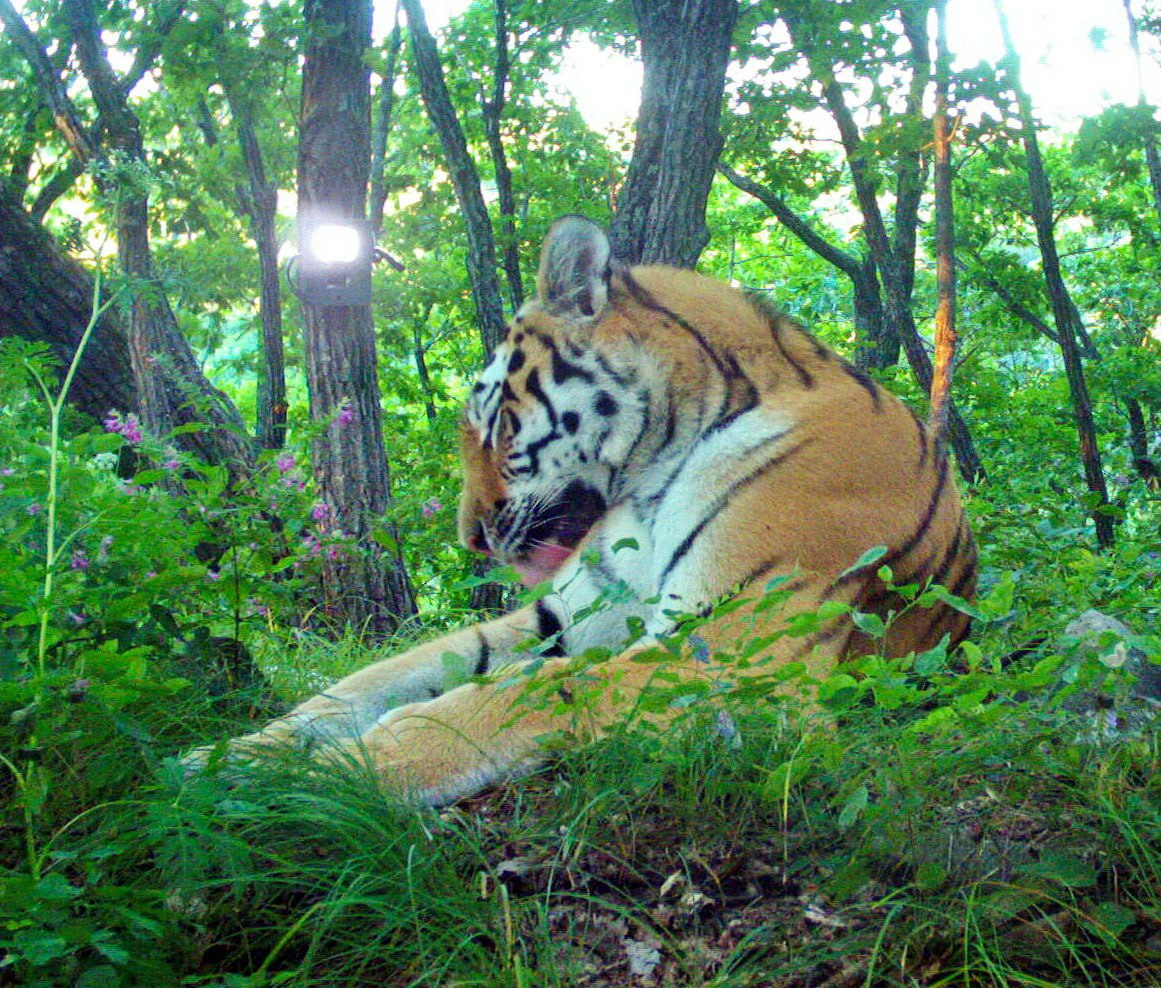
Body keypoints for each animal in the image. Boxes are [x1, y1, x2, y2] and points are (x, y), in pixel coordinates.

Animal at [185, 214, 975, 803]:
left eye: (498, 426)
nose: (469, 540)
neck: (654, 473)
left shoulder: (737, 652)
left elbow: (525, 693)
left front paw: (324, 778)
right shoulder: (559, 613)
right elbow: (376, 678)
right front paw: (232, 756)